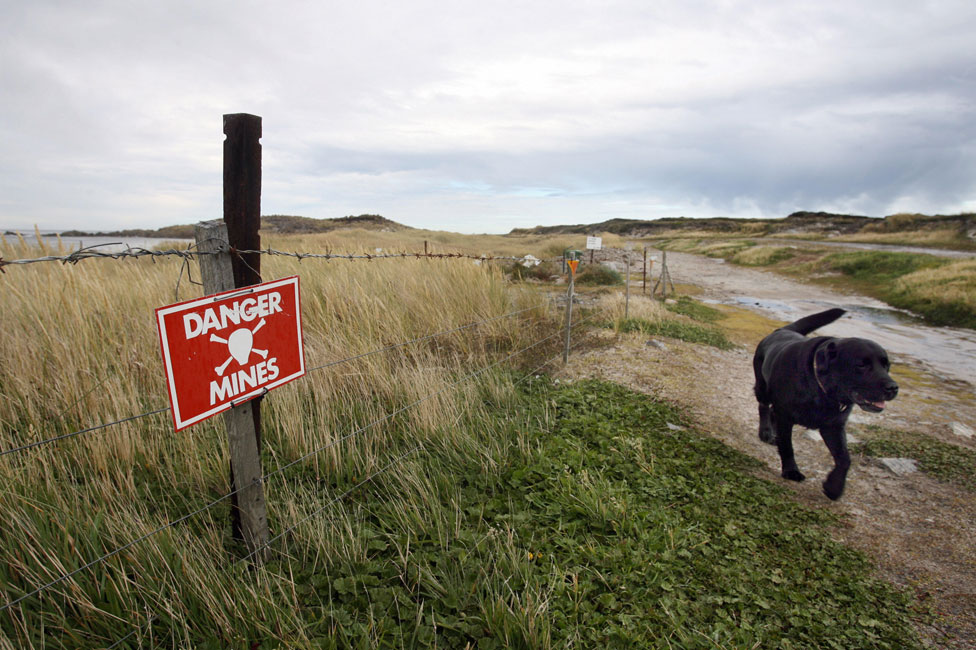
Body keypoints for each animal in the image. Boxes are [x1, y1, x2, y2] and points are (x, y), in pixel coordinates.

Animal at [756, 306, 900, 498]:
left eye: (886, 365)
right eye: (861, 365)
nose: (893, 388)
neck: (821, 389)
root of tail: (783, 330)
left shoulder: (833, 426)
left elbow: (845, 459)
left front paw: (834, 487)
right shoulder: (785, 417)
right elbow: (788, 446)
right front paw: (791, 471)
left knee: (772, 411)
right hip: (762, 388)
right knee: (764, 406)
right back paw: (765, 432)